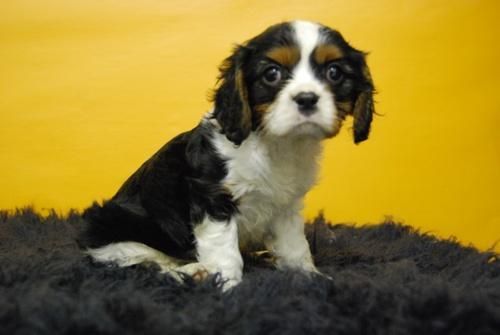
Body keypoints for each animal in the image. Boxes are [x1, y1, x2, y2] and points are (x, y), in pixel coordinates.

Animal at [79, 19, 376, 290]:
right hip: (113, 221)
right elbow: (223, 249)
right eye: (271, 74)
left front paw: (309, 276)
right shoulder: (213, 197)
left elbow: (295, 245)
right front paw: (225, 283)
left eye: (334, 73)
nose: (306, 98)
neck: (275, 143)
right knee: (140, 260)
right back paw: (191, 271)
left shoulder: (286, 205)